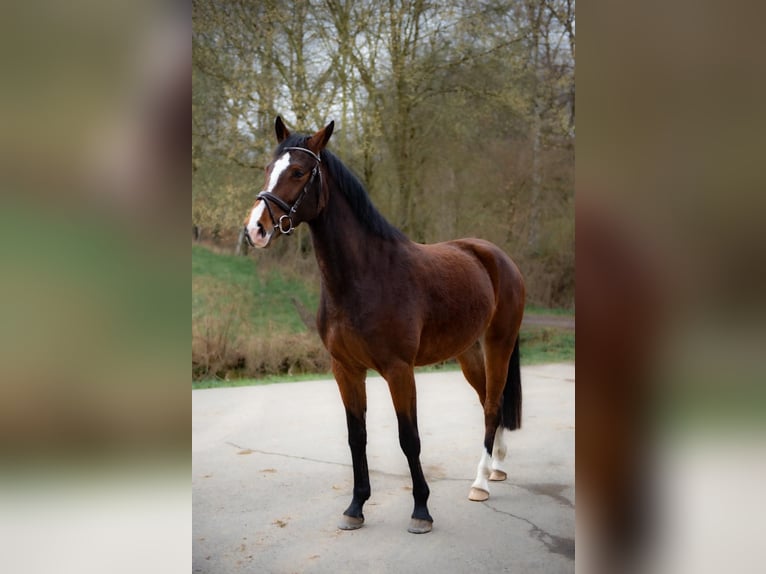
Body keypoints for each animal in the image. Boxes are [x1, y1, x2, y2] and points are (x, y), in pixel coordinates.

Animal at [244, 116, 525, 534]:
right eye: (267, 168)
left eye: (298, 172)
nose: (255, 229)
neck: (364, 277)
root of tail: (497, 256)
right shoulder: (345, 369)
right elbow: (355, 437)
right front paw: (356, 507)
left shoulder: (398, 369)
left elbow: (409, 438)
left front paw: (421, 510)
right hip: (469, 352)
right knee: (489, 402)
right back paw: (496, 467)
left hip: (498, 344)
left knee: (492, 406)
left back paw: (479, 483)